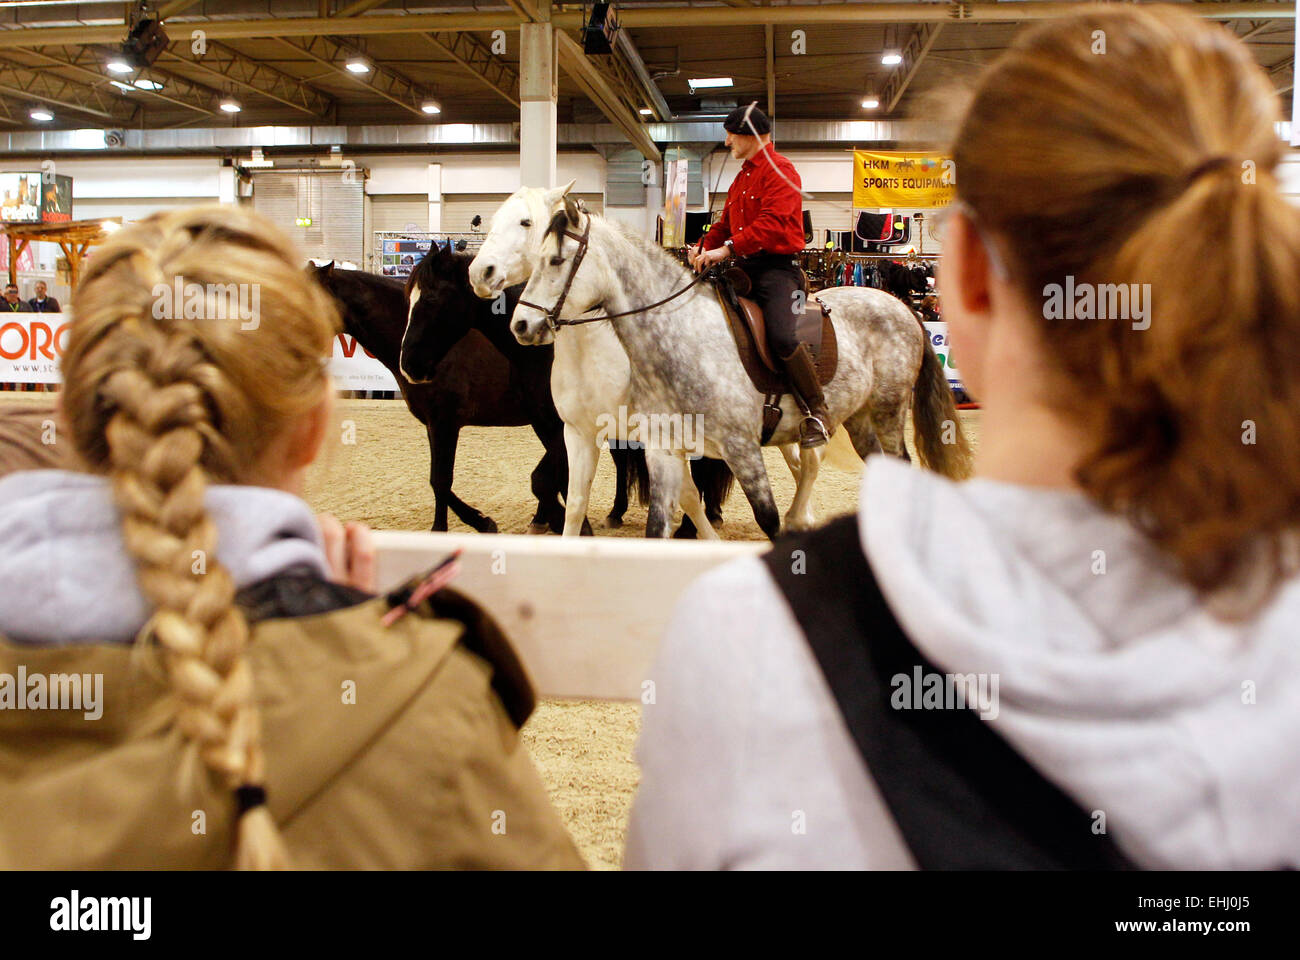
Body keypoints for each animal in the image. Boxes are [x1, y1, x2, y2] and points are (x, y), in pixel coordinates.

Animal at [405, 243, 733, 535]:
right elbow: (557, 481)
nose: (408, 364)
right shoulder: (552, 425)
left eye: (431, 300)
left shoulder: (568, 428)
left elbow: (542, 480)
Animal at [512, 195, 972, 538]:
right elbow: (659, 525)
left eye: (556, 261)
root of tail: (900, 307)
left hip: (888, 411)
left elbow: (767, 519)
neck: (680, 336)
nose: (520, 324)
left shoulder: (741, 447)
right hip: (858, 417)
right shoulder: (664, 449)